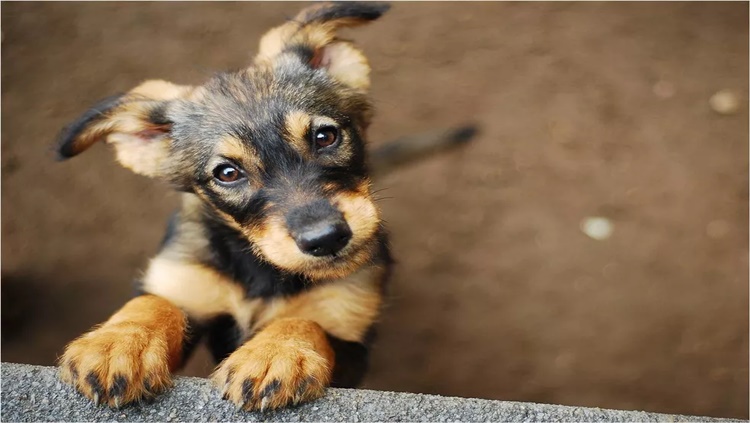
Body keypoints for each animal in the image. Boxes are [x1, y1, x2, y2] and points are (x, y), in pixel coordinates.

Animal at [54, 2, 476, 414]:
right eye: (227, 173)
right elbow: (153, 302)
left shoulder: (350, 339)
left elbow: (306, 322)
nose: (327, 239)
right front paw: (118, 343)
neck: (263, 270)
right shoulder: (186, 281)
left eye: (326, 136)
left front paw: (275, 354)